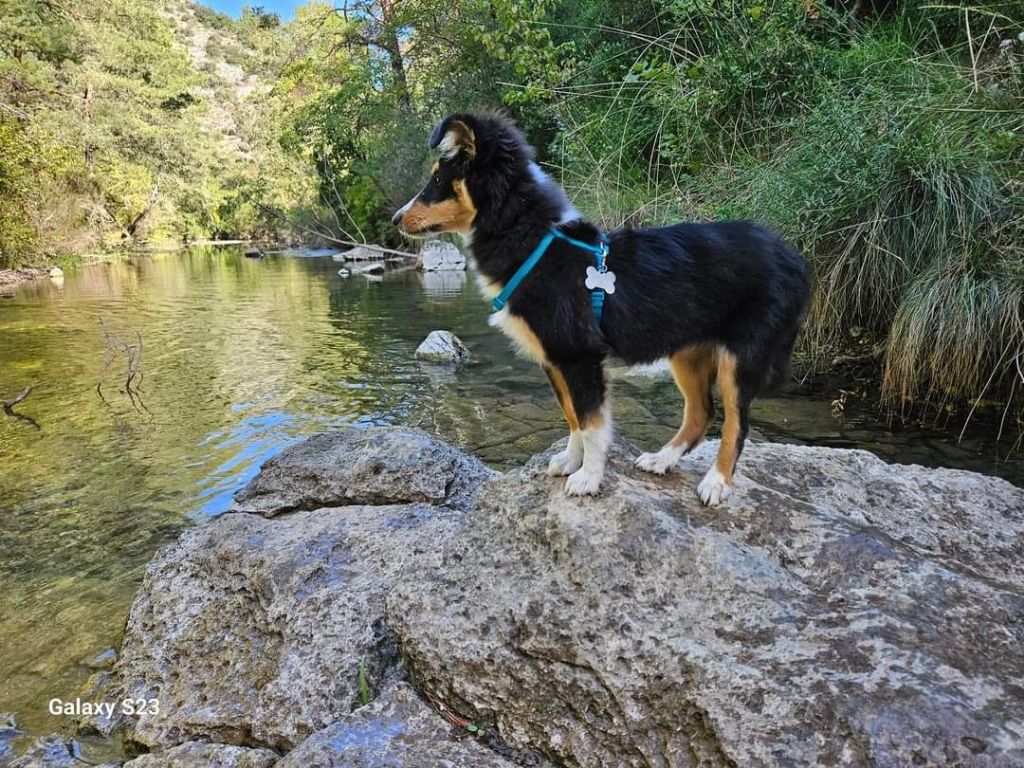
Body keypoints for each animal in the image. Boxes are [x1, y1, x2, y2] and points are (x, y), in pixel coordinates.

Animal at [391, 109, 806, 505]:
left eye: (439, 180)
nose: (395, 219)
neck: (532, 241)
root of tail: (792, 256)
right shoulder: (556, 358)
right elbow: (572, 416)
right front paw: (571, 461)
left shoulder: (579, 355)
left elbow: (591, 423)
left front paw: (589, 478)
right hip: (686, 350)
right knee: (702, 411)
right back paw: (663, 459)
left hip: (741, 356)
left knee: (736, 422)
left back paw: (716, 483)